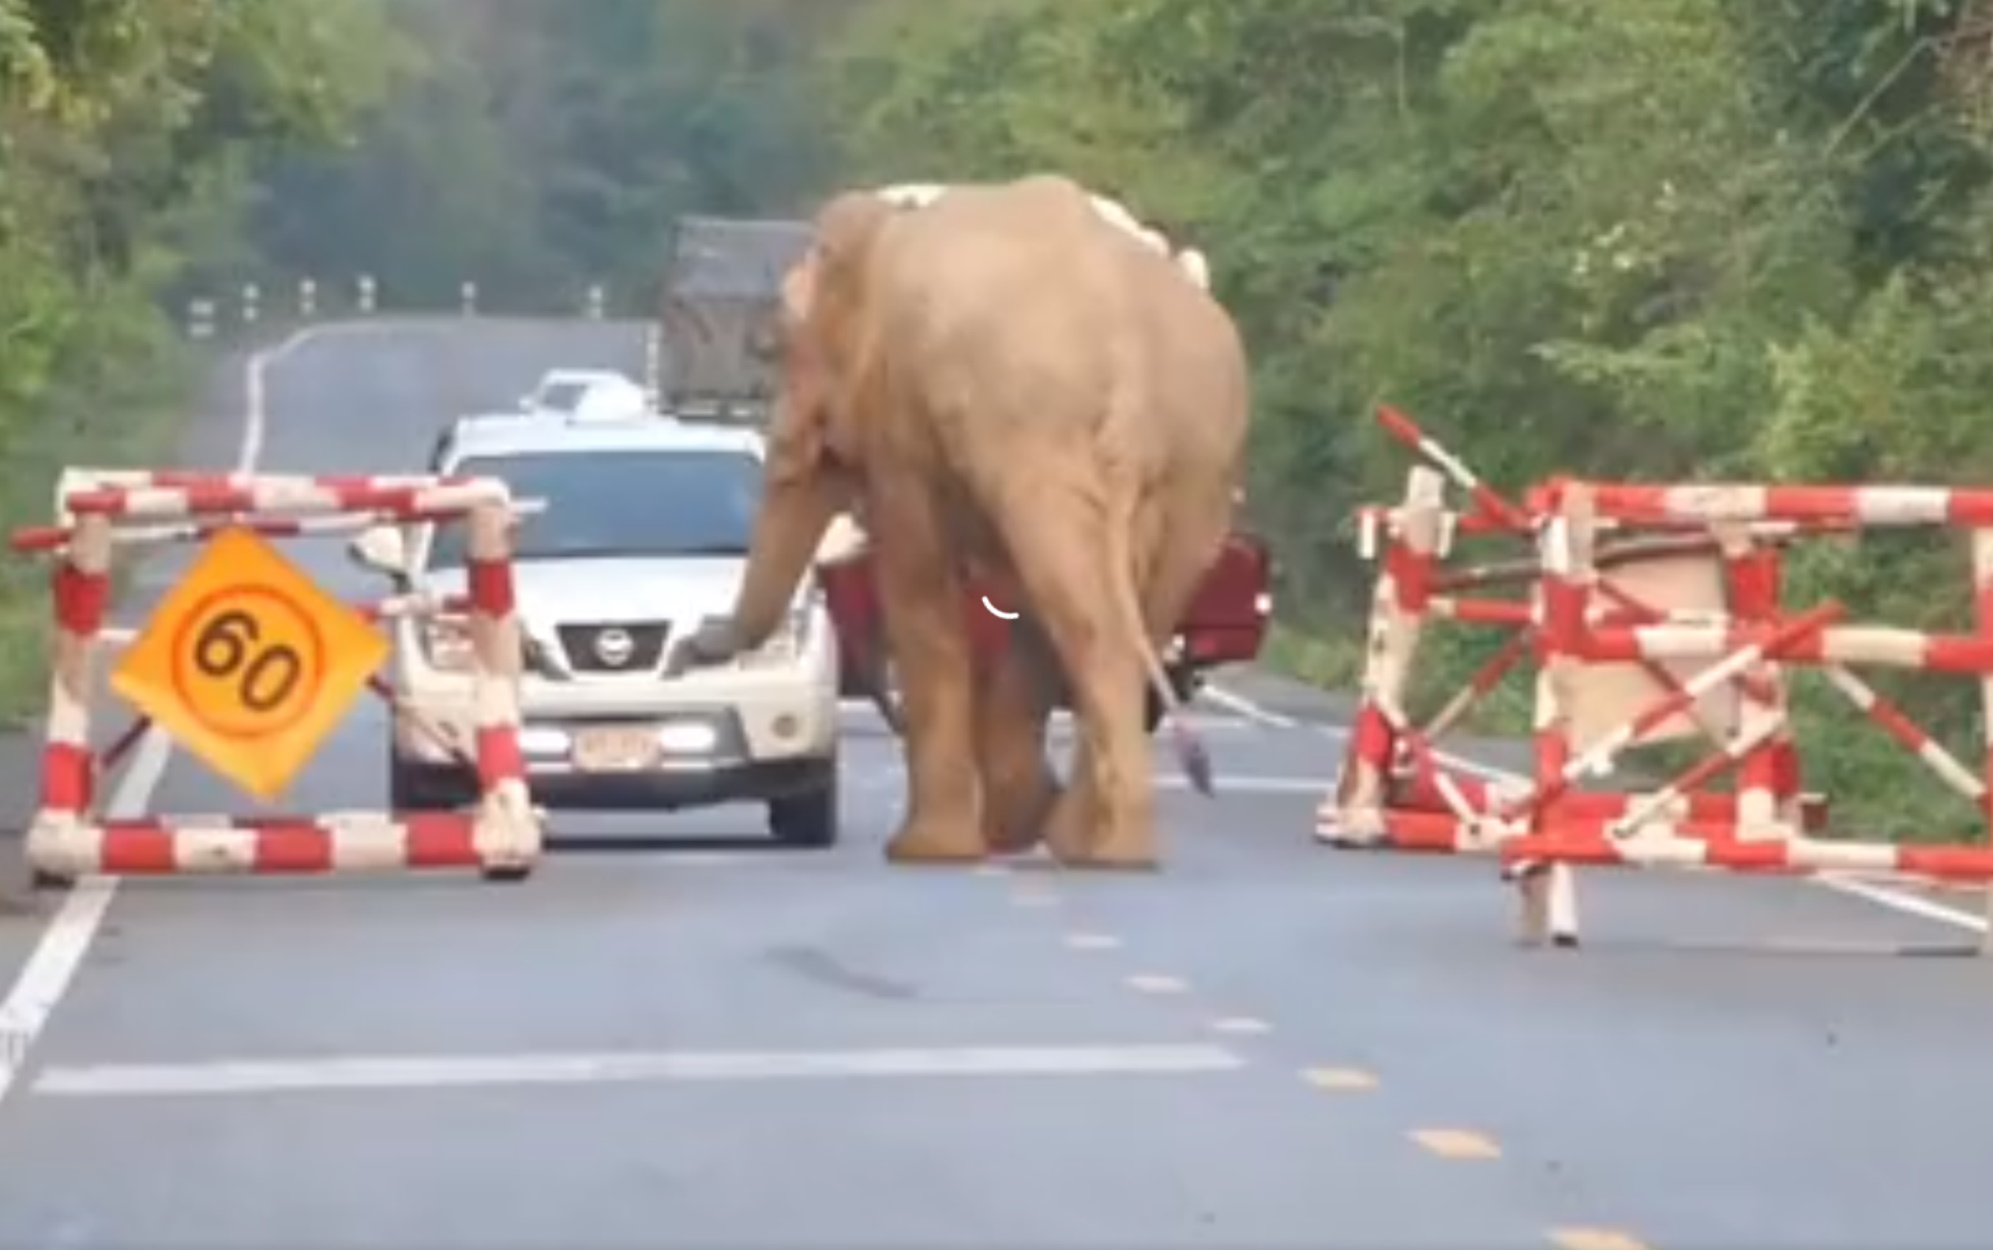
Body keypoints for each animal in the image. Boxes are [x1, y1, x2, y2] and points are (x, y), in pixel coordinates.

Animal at [669, 176, 1243, 869]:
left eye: (778, 348)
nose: (690, 646)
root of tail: (1130, 373)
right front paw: (1014, 823)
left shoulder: (902, 427)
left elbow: (916, 580)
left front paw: (924, 852)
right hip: (1194, 470)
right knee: (1123, 613)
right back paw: (1093, 844)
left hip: (1041, 437)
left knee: (1086, 616)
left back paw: (1099, 848)